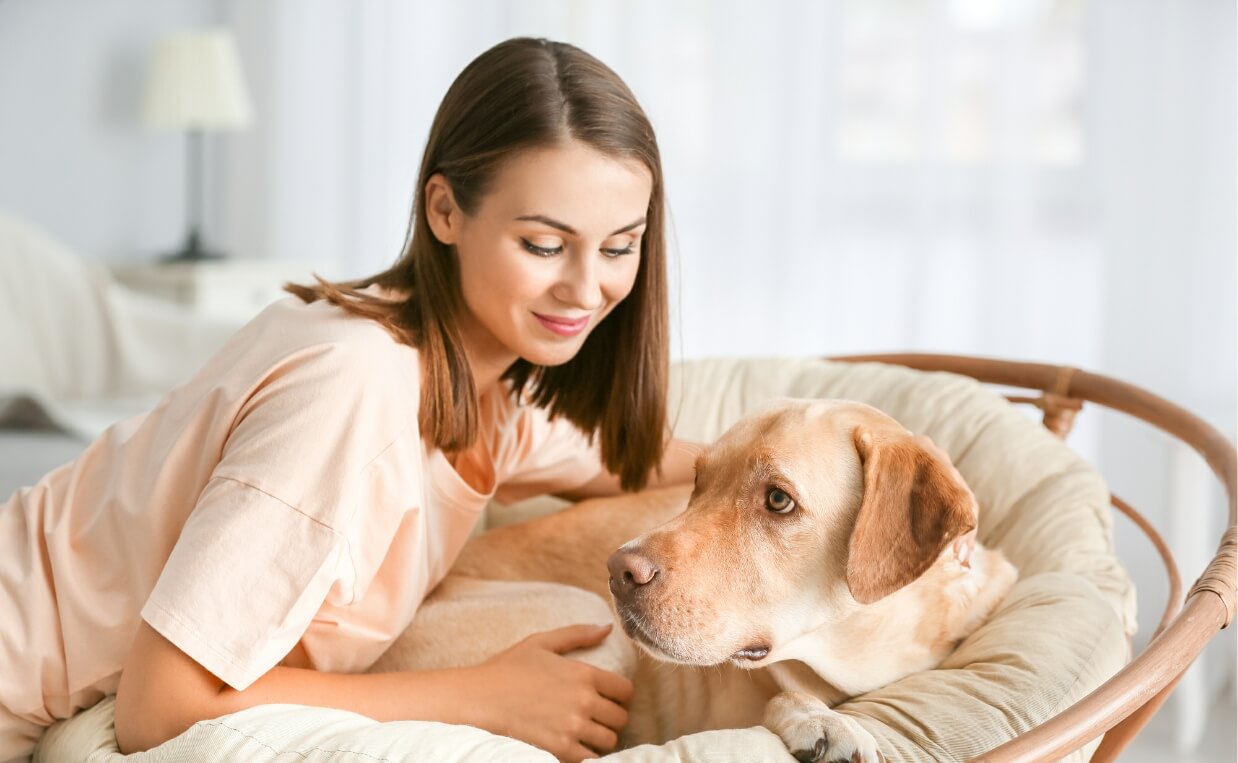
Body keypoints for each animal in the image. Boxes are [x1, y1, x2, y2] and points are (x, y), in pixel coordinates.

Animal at [373, 401, 1015, 758]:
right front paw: (820, 721)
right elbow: (781, 697)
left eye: (778, 500)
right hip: (590, 625)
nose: (618, 571)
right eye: (698, 483)